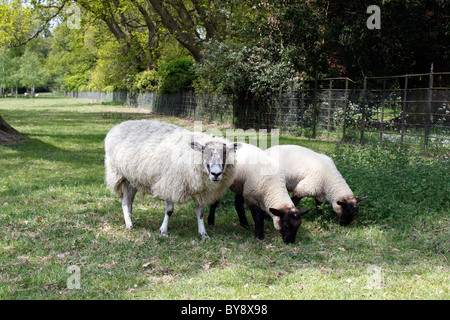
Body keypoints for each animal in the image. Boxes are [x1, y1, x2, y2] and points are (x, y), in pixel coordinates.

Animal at [103, 120, 241, 240]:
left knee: (129, 199)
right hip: (119, 174)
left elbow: (200, 213)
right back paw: (129, 224)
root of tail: (118, 125)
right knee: (125, 199)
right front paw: (163, 232)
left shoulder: (201, 191)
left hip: (134, 177)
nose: (216, 174)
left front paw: (203, 234)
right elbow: (169, 211)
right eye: (204, 153)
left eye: (225, 155)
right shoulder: (170, 185)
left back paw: (130, 219)